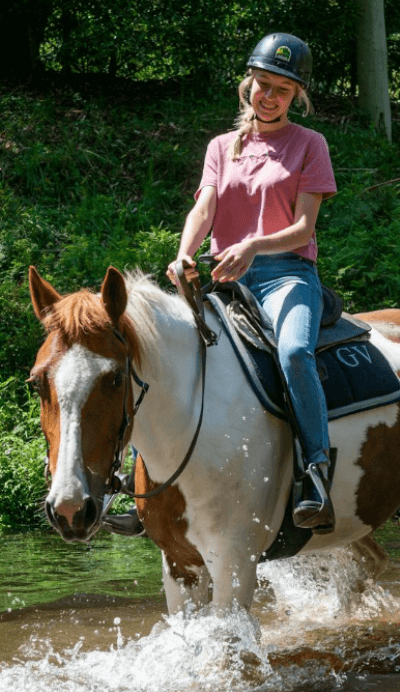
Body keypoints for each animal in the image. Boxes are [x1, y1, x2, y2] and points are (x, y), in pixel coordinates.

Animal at [29, 265, 400, 615]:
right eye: (37, 382)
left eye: (115, 379)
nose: (70, 508)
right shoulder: (180, 564)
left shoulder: (233, 564)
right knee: (368, 563)